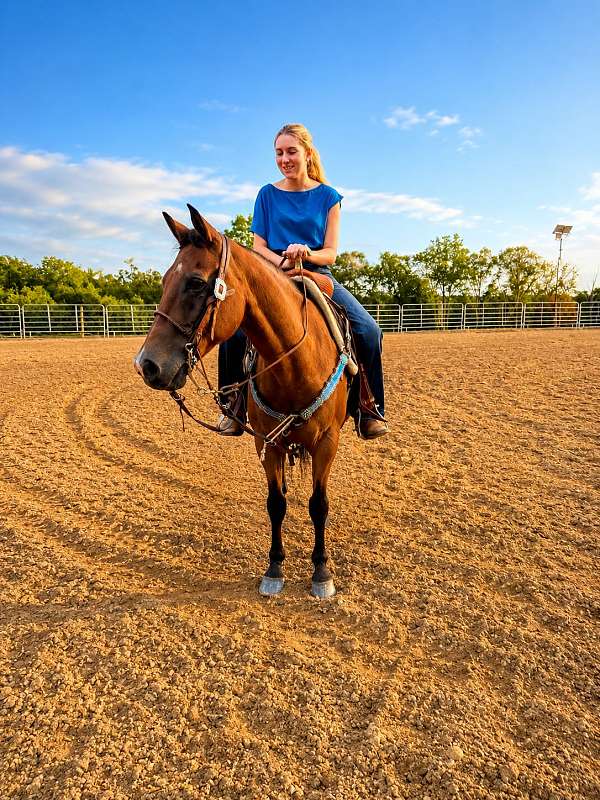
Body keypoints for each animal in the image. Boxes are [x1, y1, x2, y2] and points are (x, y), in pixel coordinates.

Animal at [134, 205, 352, 598]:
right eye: (164, 281)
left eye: (196, 282)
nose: (147, 365)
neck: (296, 362)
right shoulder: (265, 442)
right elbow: (276, 503)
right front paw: (275, 568)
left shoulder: (327, 442)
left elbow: (319, 505)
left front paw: (321, 572)